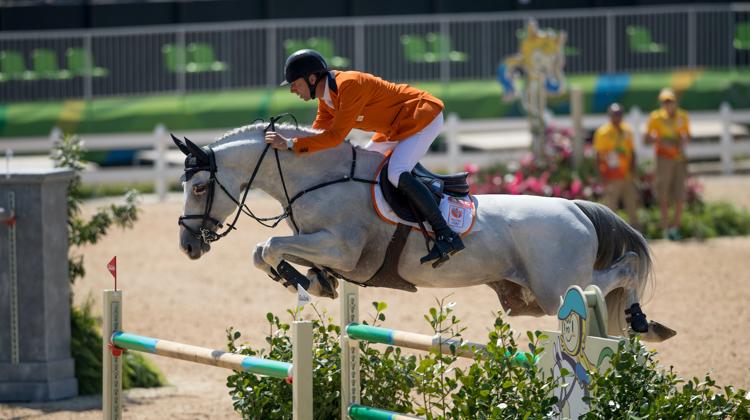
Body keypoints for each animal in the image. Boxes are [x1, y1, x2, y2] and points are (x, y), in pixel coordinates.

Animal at [178, 121, 680, 342]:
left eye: (200, 186)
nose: (187, 247)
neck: (319, 177)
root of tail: (577, 206)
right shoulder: (323, 247)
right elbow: (269, 250)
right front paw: (311, 282)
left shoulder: (342, 249)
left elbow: (267, 246)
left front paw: (296, 278)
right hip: (539, 294)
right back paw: (645, 325)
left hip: (557, 288)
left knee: (622, 271)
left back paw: (640, 319)